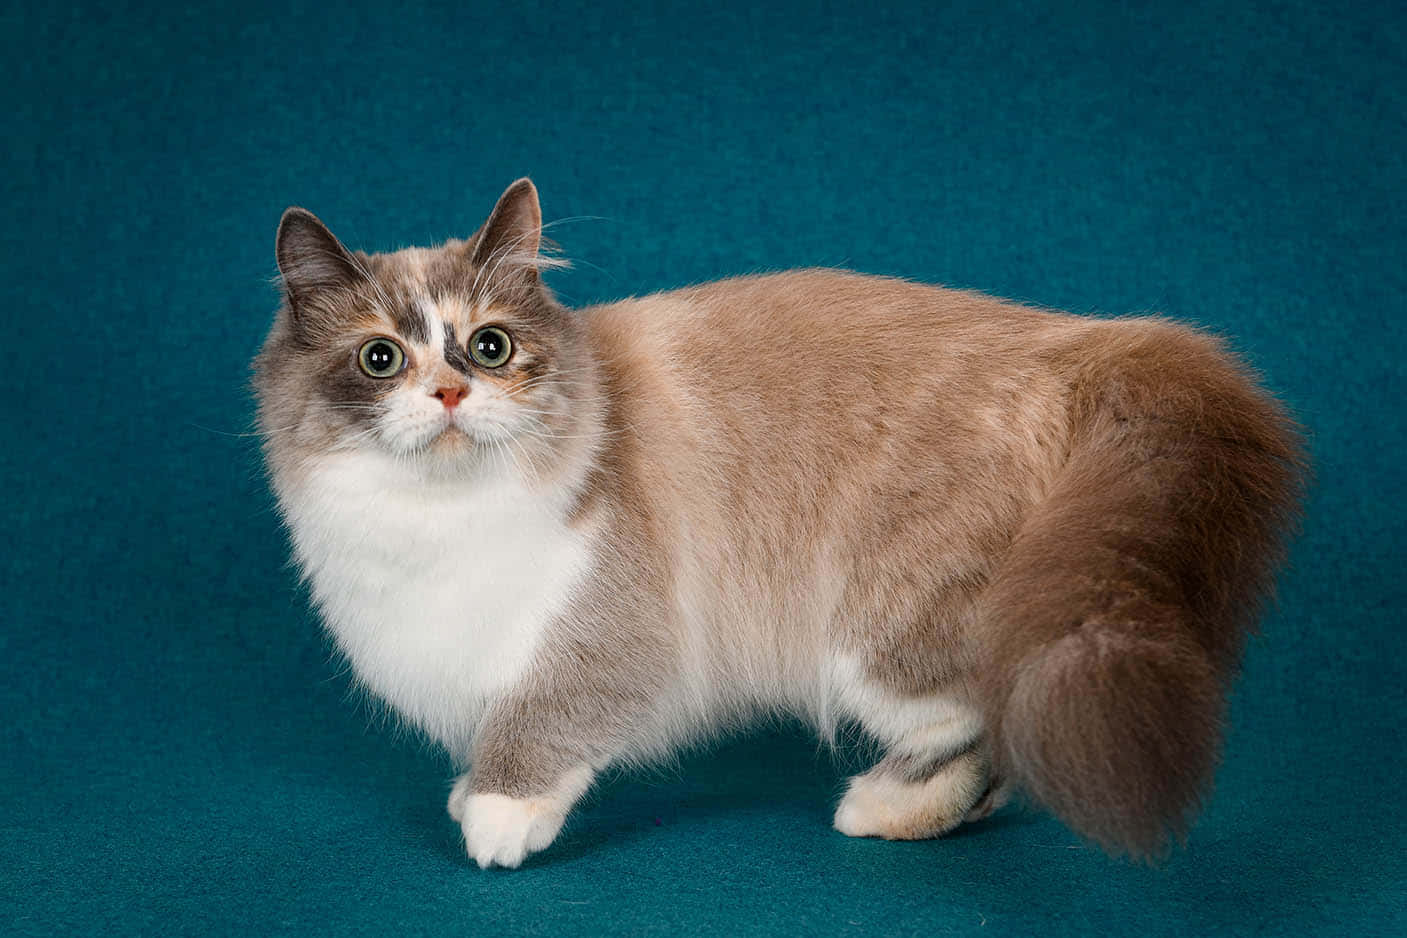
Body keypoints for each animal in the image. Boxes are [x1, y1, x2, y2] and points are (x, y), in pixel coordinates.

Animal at [256, 180, 1305, 871]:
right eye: (382, 358)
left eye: (489, 346)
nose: (447, 394)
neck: (433, 525)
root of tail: (1083, 341)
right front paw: (468, 789)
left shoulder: (604, 634)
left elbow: (542, 722)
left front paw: (496, 815)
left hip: (883, 629)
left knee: (981, 718)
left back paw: (882, 808)